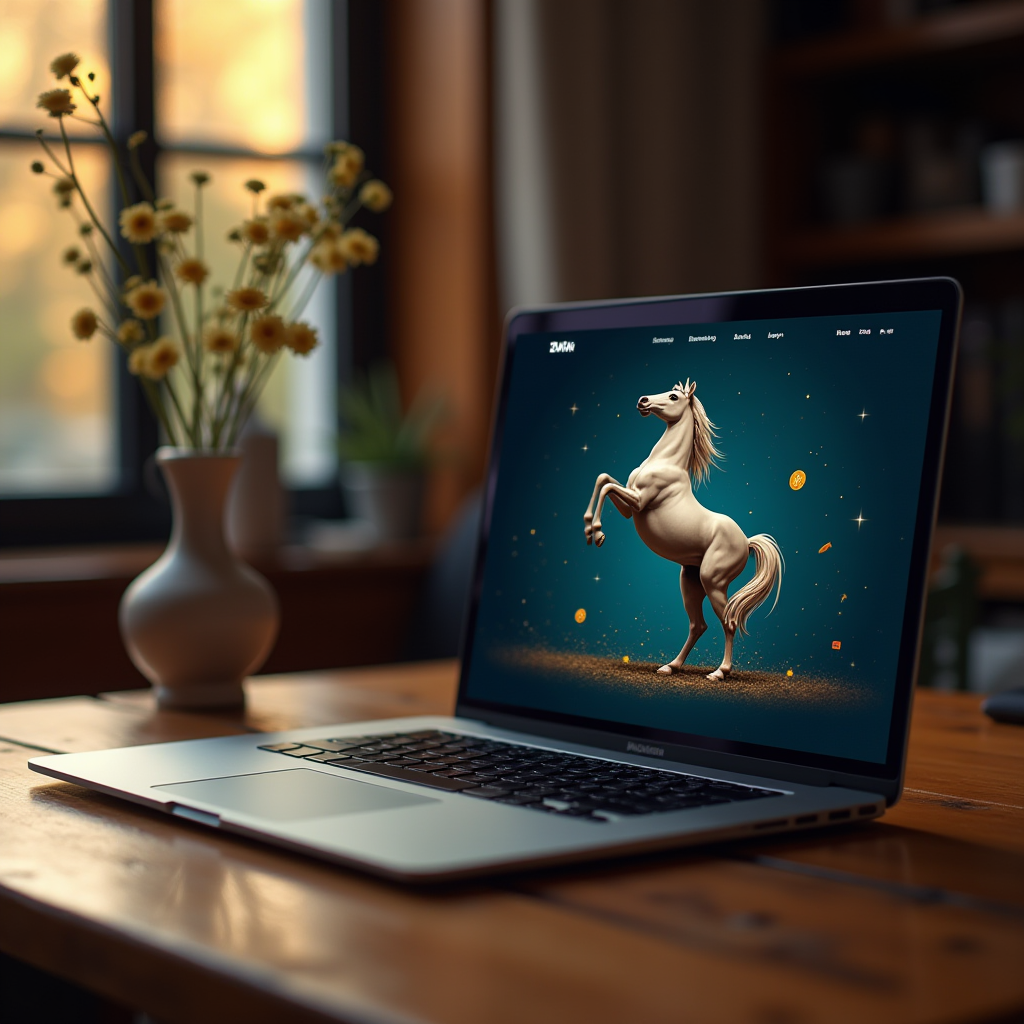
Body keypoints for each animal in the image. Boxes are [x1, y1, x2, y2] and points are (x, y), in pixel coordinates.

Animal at [585, 378, 782, 679]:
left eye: (673, 396)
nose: (643, 401)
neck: (664, 462)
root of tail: (746, 541)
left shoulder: (639, 501)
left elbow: (607, 486)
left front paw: (596, 532)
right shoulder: (630, 509)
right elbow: (603, 479)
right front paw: (589, 529)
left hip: (714, 582)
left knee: (729, 622)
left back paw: (719, 673)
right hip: (690, 581)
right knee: (698, 625)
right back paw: (670, 666)